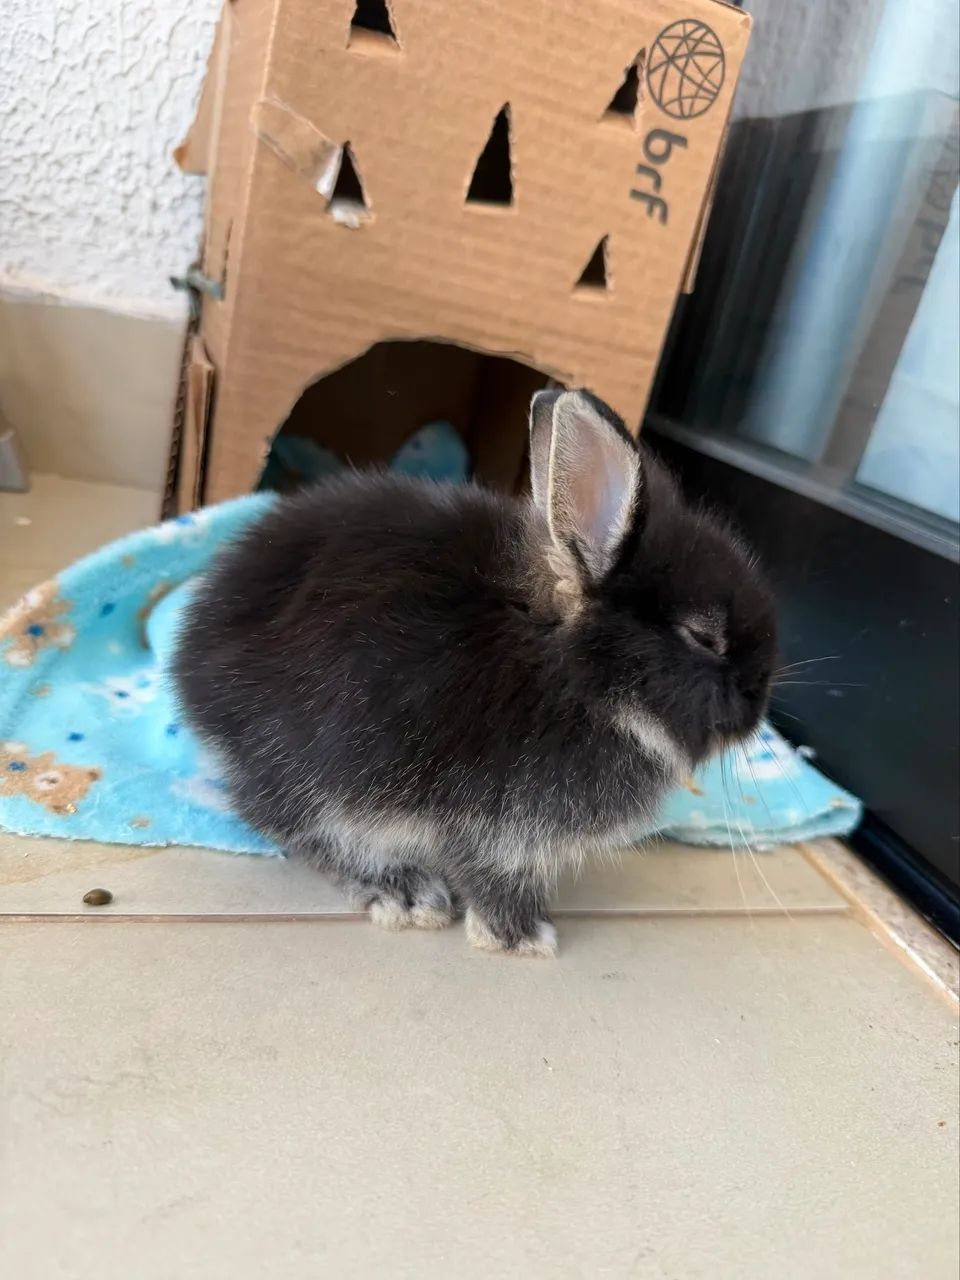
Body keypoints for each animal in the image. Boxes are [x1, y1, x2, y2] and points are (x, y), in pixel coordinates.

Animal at [173, 389, 776, 956]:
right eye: (704, 637)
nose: (756, 711)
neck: (569, 671)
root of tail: (192, 668)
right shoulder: (500, 822)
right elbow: (495, 875)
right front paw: (523, 937)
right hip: (318, 773)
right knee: (285, 820)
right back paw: (406, 893)